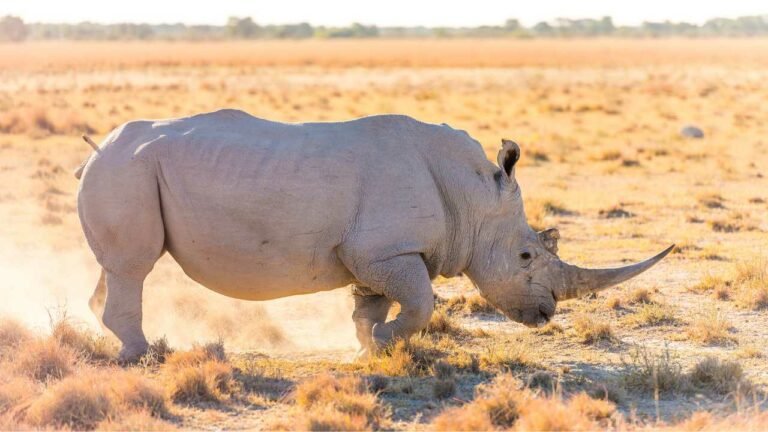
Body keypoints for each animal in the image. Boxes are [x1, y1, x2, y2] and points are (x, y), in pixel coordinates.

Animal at [75, 109, 673, 361]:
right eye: (526, 254)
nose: (546, 314)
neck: (473, 198)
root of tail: (99, 147)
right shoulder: (386, 250)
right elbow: (421, 305)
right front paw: (385, 343)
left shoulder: (377, 253)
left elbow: (372, 305)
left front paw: (368, 348)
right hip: (126, 172)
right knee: (134, 266)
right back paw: (144, 355)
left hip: (124, 171)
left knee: (113, 268)